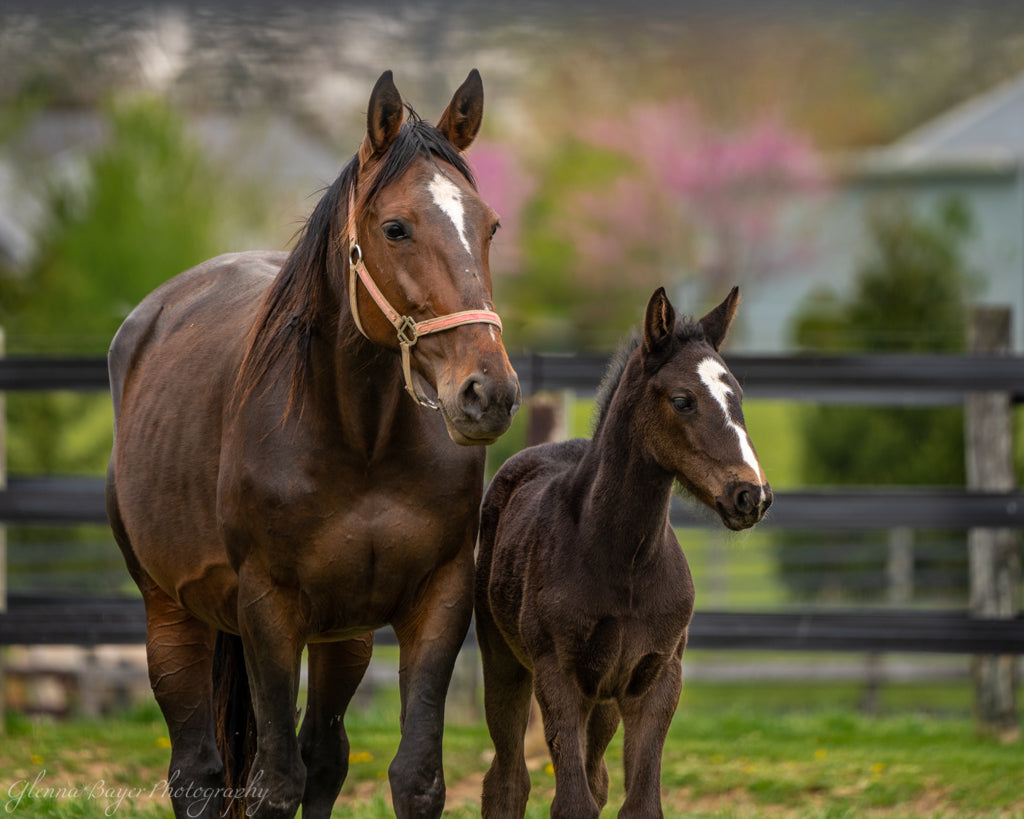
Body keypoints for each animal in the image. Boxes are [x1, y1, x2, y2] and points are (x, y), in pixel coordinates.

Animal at [105, 69, 521, 819]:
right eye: (395, 227)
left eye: (490, 226)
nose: (488, 392)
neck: (362, 441)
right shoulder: (268, 611)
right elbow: (274, 785)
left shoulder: (438, 600)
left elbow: (412, 776)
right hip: (170, 611)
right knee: (197, 772)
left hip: (343, 635)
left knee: (325, 757)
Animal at [474, 286, 772, 818]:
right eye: (682, 400)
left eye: (736, 396)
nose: (751, 495)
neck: (625, 562)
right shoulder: (559, 676)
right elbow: (572, 803)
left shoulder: (655, 679)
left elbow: (639, 801)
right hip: (505, 661)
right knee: (507, 780)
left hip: (605, 700)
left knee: (597, 774)